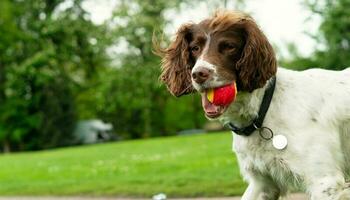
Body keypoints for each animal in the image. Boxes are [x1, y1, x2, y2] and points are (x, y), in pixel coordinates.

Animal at [157, 10, 350, 200]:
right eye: (194, 48)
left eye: (229, 46)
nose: (198, 74)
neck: (262, 111)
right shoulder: (263, 183)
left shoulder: (325, 181)